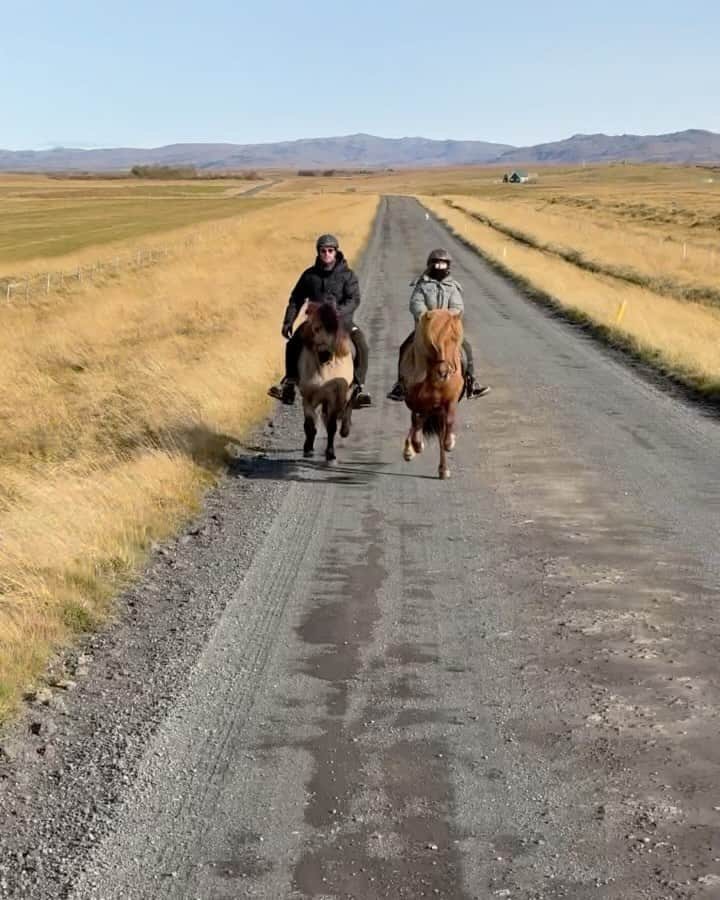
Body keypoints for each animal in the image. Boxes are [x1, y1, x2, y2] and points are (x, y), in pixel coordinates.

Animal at [298, 298, 354, 464]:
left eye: (335, 329)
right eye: (315, 328)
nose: (326, 355)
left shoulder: (335, 398)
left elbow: (331, 427)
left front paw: (330, 454)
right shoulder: (308, 397)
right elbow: (310, 425)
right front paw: (308, 449)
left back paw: (345, 429)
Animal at [396, 308, 464, 478]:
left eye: (455, 339)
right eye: (433, 344)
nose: (444, 372)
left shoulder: (450, 401)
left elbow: (449, 422)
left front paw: (450, 443)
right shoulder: (415, 401)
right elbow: (416, 421)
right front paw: (416, 445)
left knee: (439, 431)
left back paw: (443, 468)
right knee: (418, 422)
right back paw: (410, 450)